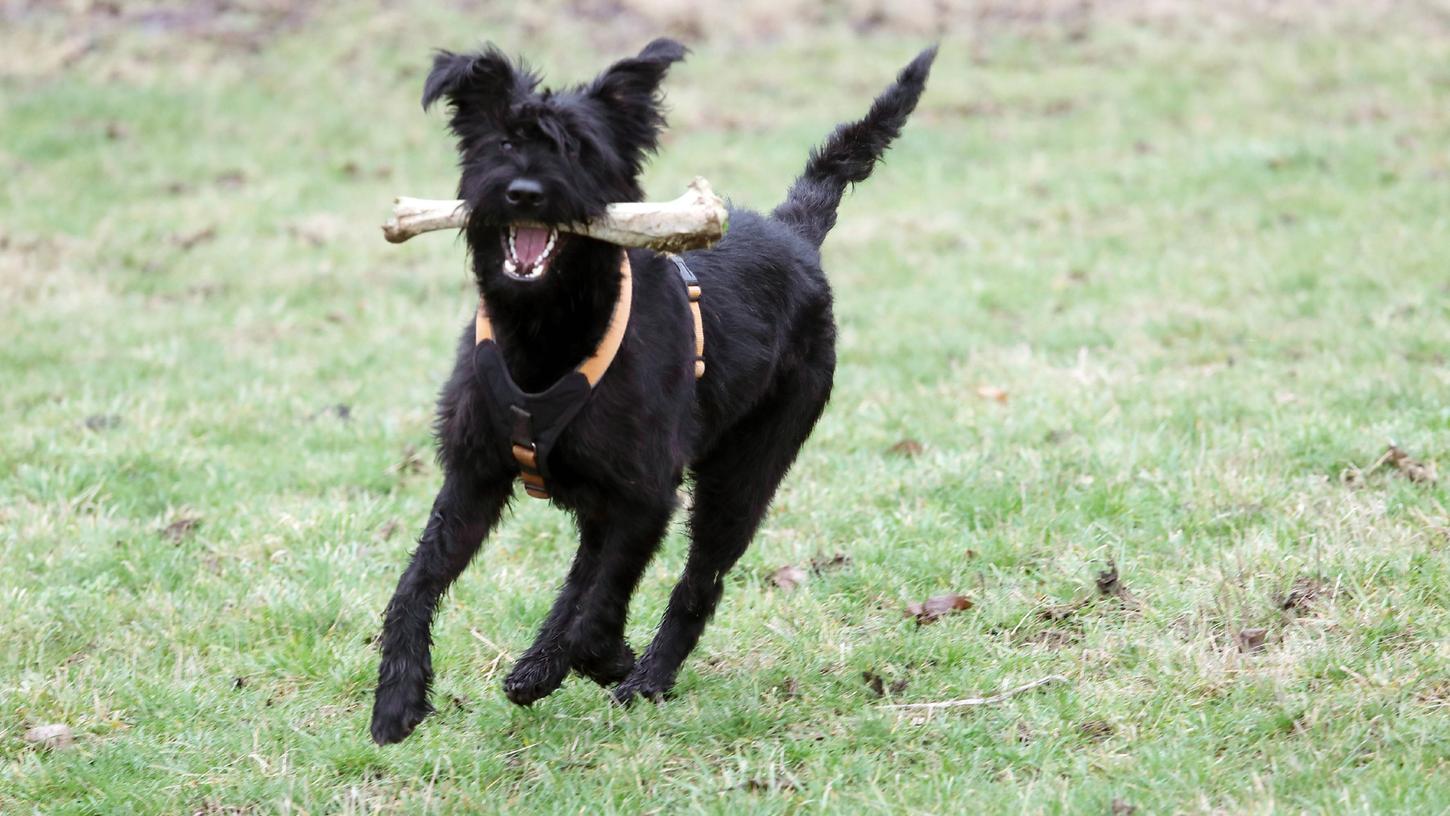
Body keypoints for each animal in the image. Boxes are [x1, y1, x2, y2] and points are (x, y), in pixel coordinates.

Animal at [371, 38, 939, 742]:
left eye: (580, 148)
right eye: (503, 140)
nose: (524, 193)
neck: (548, 335)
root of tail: (794, 232)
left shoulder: (646, 494)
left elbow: (603, 605)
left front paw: (607, 659)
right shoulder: (474, 478)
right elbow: (417, 581)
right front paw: (398, 695)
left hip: (744, 476)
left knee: (696, 583)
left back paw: (641, 676)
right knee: (586, 570)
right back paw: (546, 663)